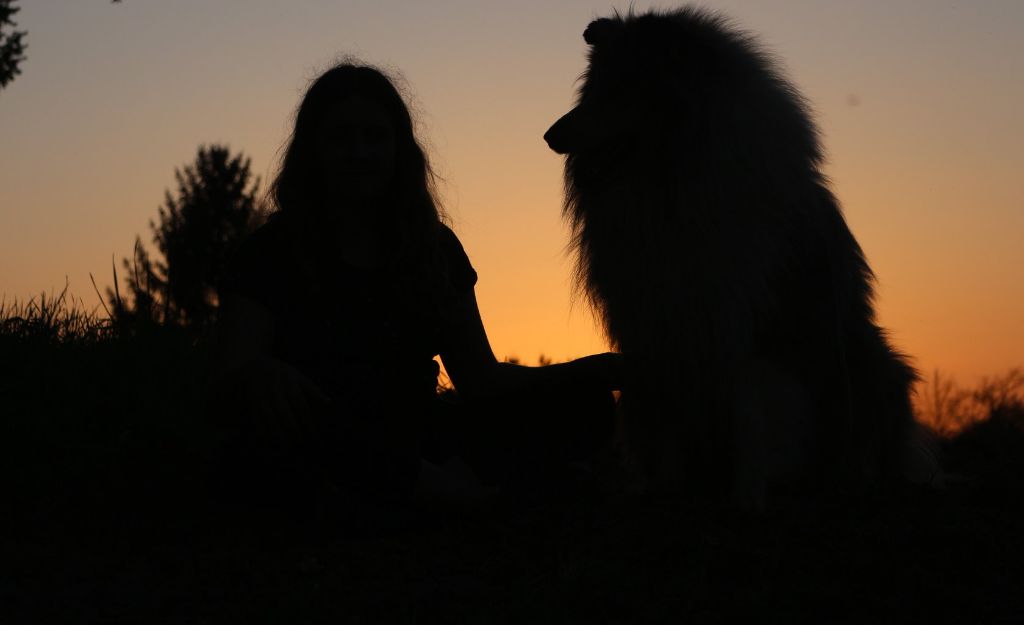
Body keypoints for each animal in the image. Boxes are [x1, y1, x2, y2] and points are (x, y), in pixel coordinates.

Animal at [544, 7, 927, 508]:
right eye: (593, 90)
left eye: (621, 90)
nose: (550, 136)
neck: (670, 184)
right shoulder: (654, 330)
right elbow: (670, 433)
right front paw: (670, 493)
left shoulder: (742, 331)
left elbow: (750, 424)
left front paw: (745, 499)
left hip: (870, 364)